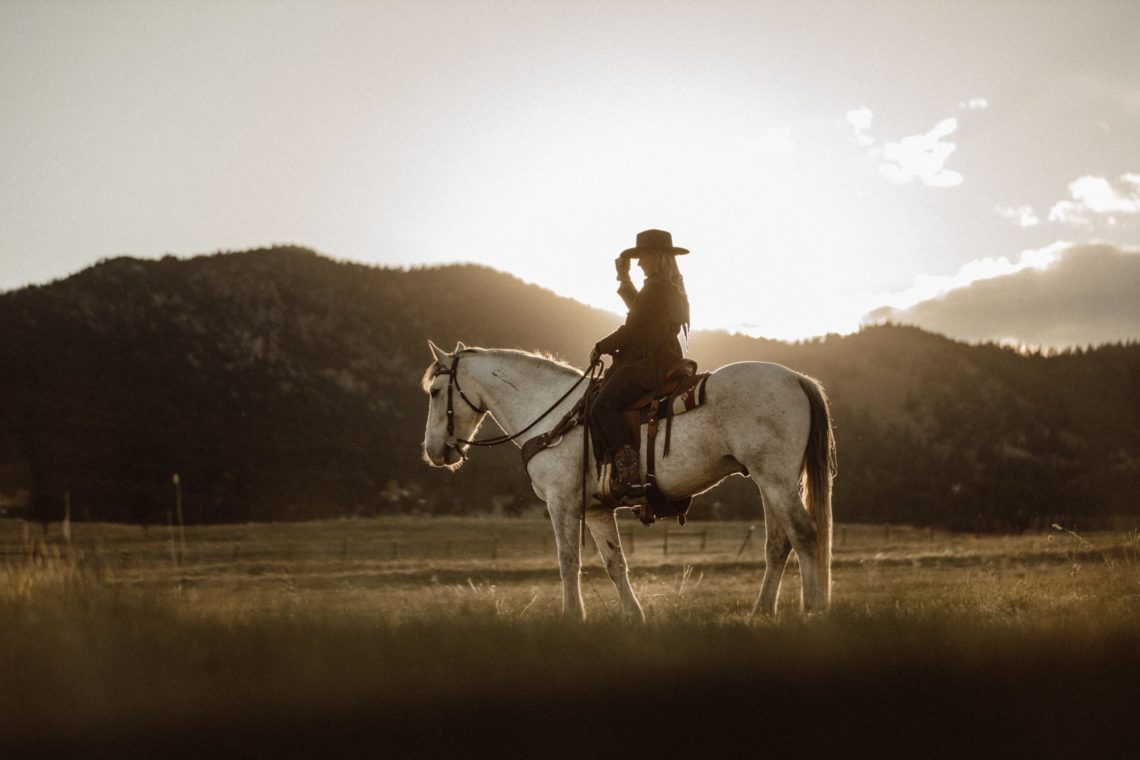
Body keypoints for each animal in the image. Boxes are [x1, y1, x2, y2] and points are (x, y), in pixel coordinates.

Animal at [424, 341, 834, 619]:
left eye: (434, 391)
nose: (433, 451)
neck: (553, 416)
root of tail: (797, 379)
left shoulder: (562, 502)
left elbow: (568, 560)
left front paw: (572, 617)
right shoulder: (596, 510)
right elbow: (614, 563)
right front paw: (633, 616)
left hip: (776, 479)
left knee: (804, 533)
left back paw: (813, 607)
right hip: (771, 482)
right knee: (778, 544)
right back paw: (762, 610)